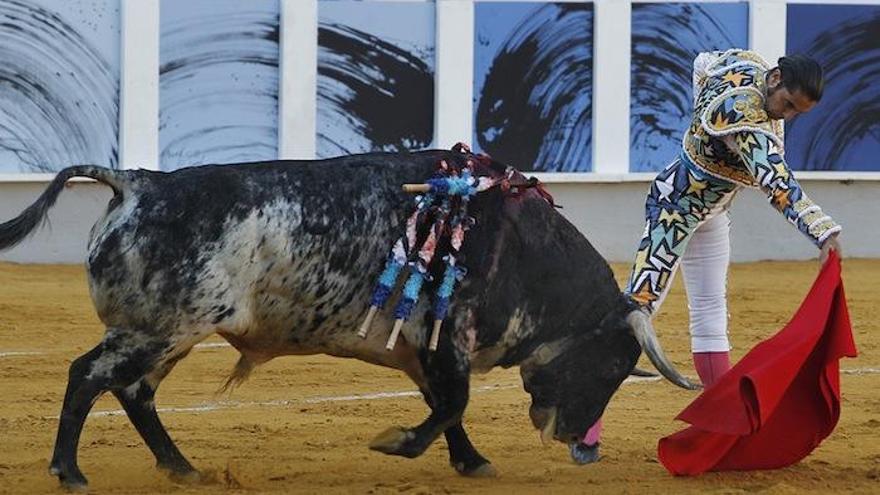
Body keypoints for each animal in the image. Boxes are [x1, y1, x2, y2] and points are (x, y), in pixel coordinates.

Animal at [1, 149, 700, 490]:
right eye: (612, 366)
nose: (580, 443)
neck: (522, 245)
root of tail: (138, 183)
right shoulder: (448, 339)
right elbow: (453, 403)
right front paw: (399, 444)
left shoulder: (423, 348)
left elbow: (447, 407)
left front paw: (470, 462)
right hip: (159, 330)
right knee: (89, 376)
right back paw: (70, 472)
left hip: (171, 334)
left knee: (134, 392)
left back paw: (182, 468)